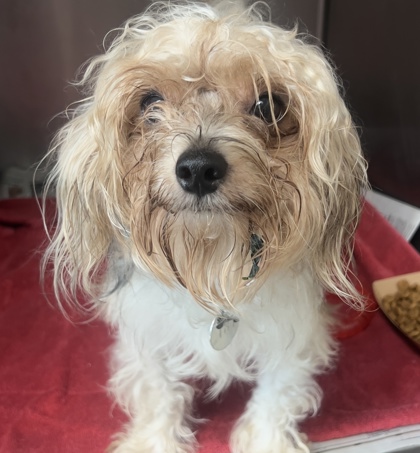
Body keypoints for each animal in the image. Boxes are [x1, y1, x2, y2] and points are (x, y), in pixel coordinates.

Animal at [43, 2, 367, 452]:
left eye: (269, 105)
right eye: (150, 101)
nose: (198, 168)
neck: (212, 258)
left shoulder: (294, 334)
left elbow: (276, 395)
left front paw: (267, 440)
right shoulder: (148, 337)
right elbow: (158, 392)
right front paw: (154, 441)